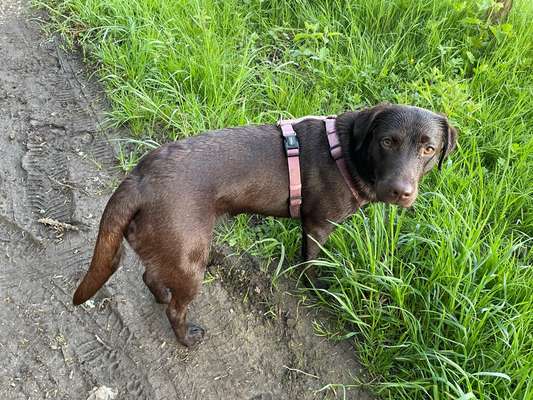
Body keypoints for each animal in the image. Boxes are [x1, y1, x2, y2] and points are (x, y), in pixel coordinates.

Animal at [72, 104, 458, 346]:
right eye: (387, 141)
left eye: (428, 149)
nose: (400, 191)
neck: (346, 152)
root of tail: (137, 179)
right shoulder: (319, 226)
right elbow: (311, 263)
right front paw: (316, 286)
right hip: (189, 257)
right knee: (175, 308)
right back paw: (186, 337)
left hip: (174, 251)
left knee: (151, 276)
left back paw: (161, 294)